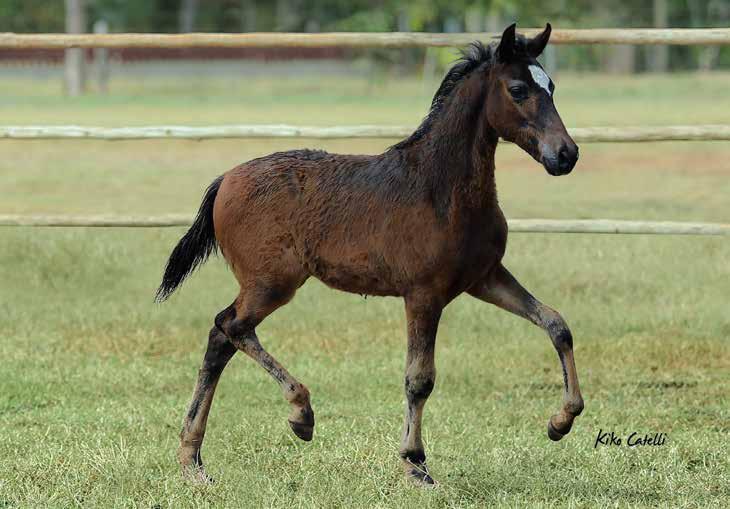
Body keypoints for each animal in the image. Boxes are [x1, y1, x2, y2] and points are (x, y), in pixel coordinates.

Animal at [156, 23, 584, 484]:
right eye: (518, 89)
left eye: (552, 86)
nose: (566, 154)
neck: (441, 188)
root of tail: (225, 180)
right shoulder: (424, 294)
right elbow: (420, 378)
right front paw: (415, 462)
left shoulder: (485, 278)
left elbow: (556, 324)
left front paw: (562, 421)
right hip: (271, 283)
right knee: (229, 326)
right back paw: (300, 414)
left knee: (221, 339)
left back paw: (193, 458)